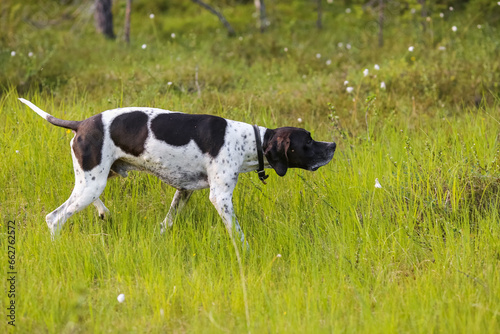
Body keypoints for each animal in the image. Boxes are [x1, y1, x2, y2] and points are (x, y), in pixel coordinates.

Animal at [18, 98, 336, 244]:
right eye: (308, 141)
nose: (333, 145)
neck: (248, 140)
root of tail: (81, 124)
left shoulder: (183, 191)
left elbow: (166, 223)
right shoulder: (220, 198)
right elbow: (237, 233)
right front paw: (246, 252)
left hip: (95, 178)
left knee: (89, 201)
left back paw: (103, 212)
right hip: (90, 183)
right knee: (54, 218)